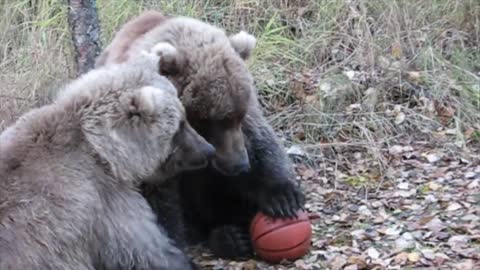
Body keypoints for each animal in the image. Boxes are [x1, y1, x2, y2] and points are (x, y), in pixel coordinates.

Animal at [0, 51, 211, 268]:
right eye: (180, 125)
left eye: (185, 117)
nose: (207, 150)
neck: (103, 151)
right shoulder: (104, 199)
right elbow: (145, 248)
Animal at [94, 11, 304, 260]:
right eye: (212, 120)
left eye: (238, 116)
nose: (240, 165)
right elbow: (158, 201)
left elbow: (261, 139)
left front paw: (283, 197)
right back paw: (228, 237)